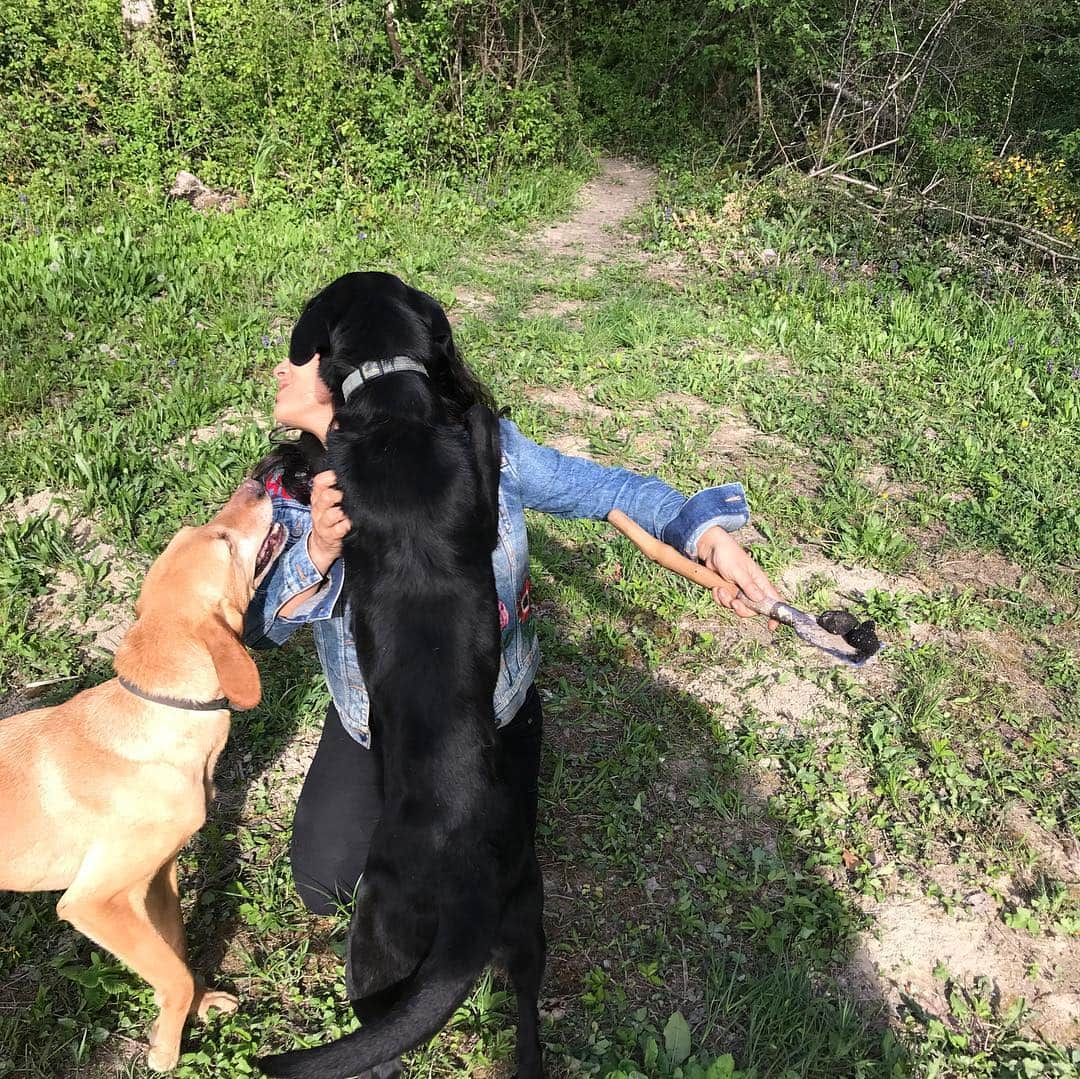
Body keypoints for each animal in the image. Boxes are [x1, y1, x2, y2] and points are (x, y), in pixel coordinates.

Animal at [0, 479, 285, 1071]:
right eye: (224, 543)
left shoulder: (158, 876)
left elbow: (176, 950)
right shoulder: (95, 902)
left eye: (204, 530)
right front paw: (165, 1050)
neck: (159, 714)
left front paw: (199, 1006)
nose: (256, 480)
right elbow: (171, 974)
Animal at [258, 274, 544, 1075]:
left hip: (376, 934)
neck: (393, 405)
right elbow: (482, 439)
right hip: (529, 921)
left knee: (375, 1035)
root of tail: (472, 899)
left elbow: (321, 449)